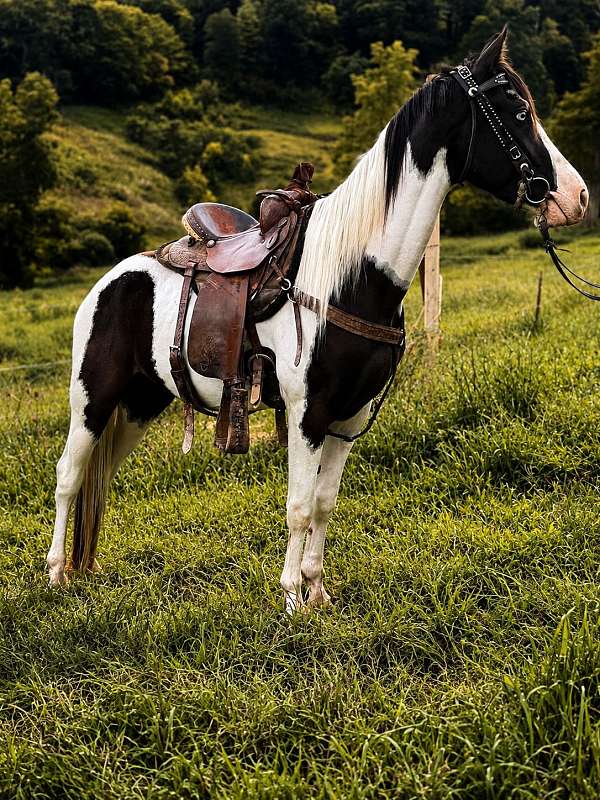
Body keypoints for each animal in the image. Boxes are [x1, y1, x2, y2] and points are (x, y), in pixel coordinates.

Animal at [47, 28, 588, 613]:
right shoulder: (307, 414)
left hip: (141, 403)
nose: (577, 196)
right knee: (69, 474)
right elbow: (299, 506)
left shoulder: (349, 418)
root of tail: (108, 282)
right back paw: (54, 576)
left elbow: (326, 503)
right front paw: (290, 601)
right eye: (517, 109)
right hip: (92, 399)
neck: (352, 277)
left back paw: (84, 570)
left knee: (100, 477)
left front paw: (318, 592)